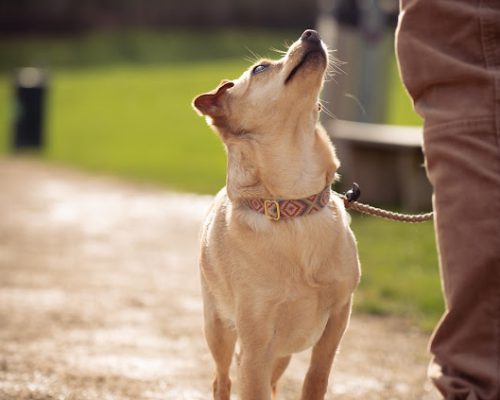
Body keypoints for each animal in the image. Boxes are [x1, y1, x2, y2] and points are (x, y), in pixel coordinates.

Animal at [191, 29, 360, 398]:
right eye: (260, 69)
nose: (311, 33)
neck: (293, 202)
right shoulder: (256, 345)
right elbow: (251, 385)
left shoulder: (338, 319)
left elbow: (316, 379)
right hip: (220, 331)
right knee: (222, 379)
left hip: (282, 354)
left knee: (273, 381)